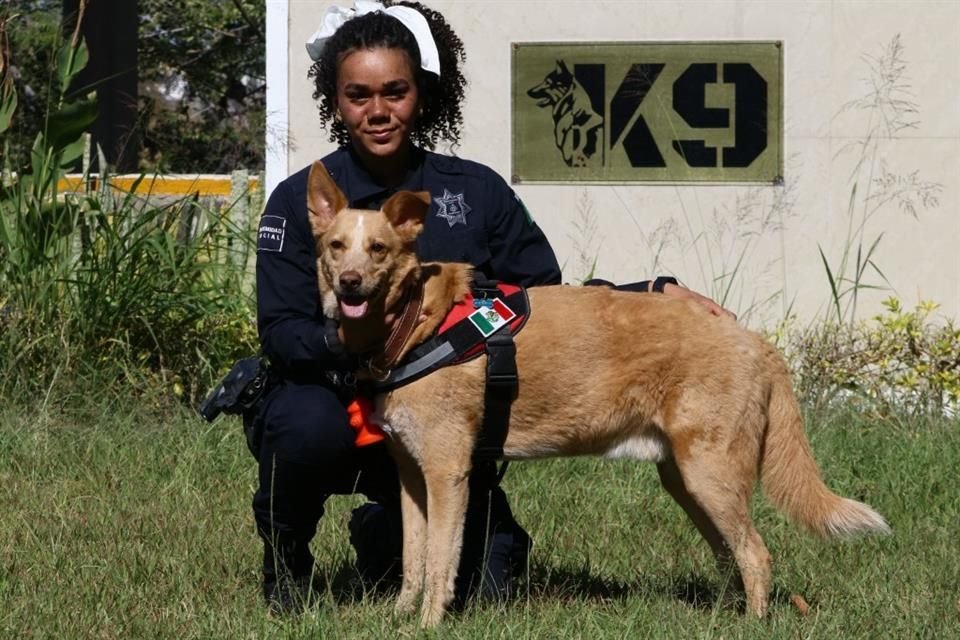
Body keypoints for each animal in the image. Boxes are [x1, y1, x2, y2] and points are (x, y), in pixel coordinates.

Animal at [304, 162, 888, 628]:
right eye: (337, 246)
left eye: (379, 249)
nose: (350, 282)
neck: (412, 321)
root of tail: (757, 342)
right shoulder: (411, 474)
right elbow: (413, 558)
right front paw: (398, 617)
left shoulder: (448, 473)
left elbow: (441, 561)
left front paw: (427, 625)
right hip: (687, 481)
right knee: (731, 555)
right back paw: (725, 617)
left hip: (711, 475)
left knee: (757, 555)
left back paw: (752, 624)